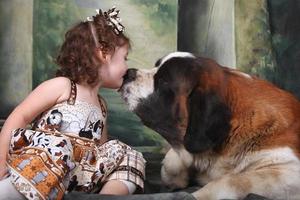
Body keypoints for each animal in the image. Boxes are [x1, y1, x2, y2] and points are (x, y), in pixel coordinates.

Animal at [119, 52, 300, 200]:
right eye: (156, 65)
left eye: (163, 81)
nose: (128, 73)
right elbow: (171, 163)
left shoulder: (290, 173)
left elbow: (234, 181)